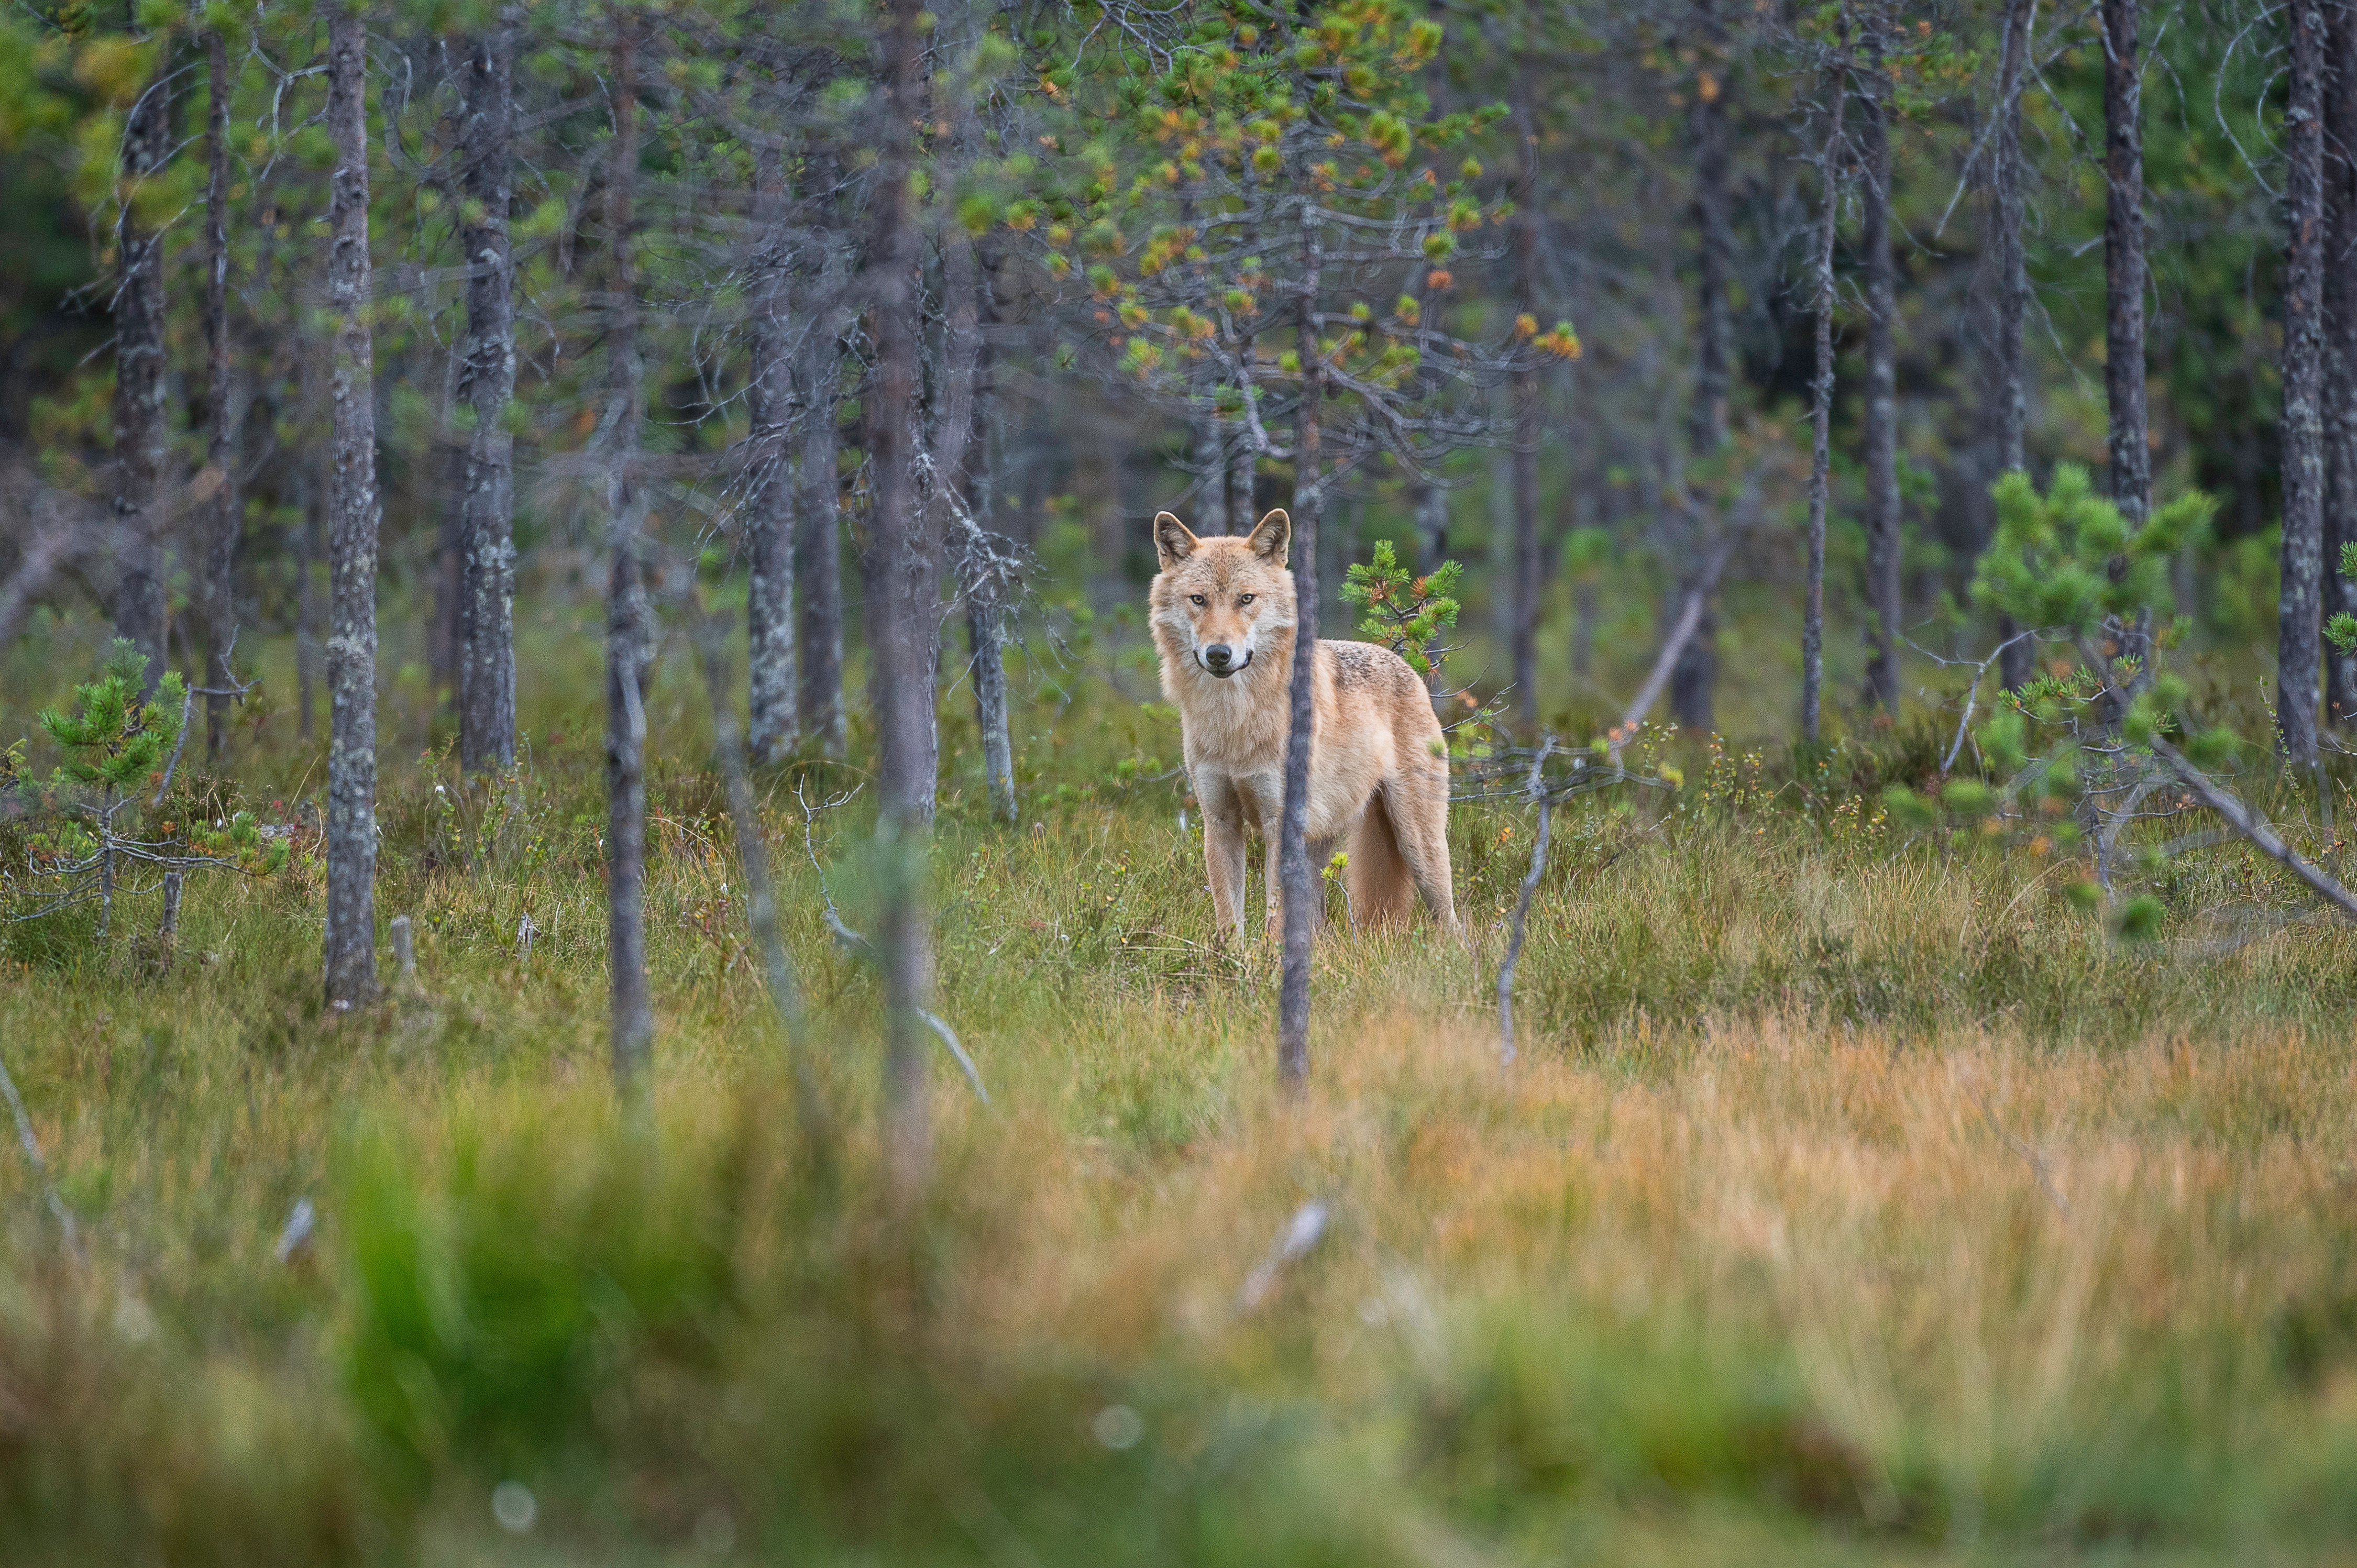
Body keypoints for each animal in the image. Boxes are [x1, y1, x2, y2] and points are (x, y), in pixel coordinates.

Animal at [1148, 507, 1458, 940]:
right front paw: (1233, 958)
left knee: (1451, 920)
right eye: (1199, 599)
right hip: (1321, 848)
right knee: (1316, 920)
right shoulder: (1220, 820)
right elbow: (1229, 917)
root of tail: (1404, 664)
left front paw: (1269, 958)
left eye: (1246, 599)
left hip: (1420, 847)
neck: (1235, 721)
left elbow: (1274, 917)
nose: (1219, 654)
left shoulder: (1280, 823)